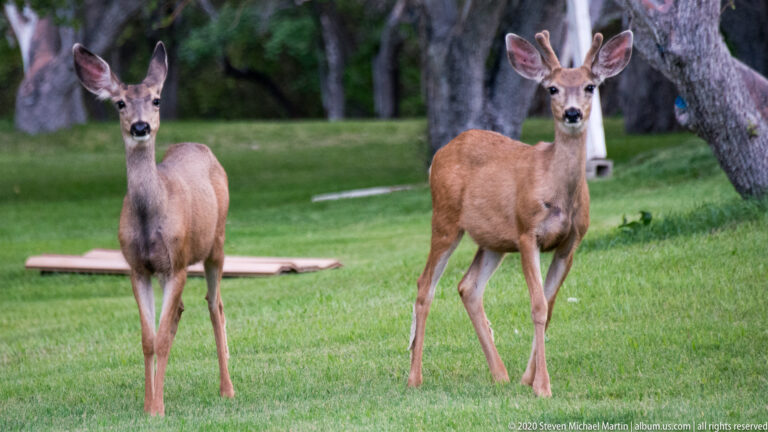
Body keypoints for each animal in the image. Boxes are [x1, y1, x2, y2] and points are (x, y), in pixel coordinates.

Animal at [72, 42, 234, 415]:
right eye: (120, 103)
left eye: (156, 99)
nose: (140, 126)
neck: (149, 217)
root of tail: (202, 148)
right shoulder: (138, 267)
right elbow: (149, 339)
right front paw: (149, 404)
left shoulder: (176, 263)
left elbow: (160, 338)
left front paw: (157, 409)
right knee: (180, 312)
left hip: (215, 245)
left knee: (214, 305)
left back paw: (227, 388)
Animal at [407, 29, 633, 397]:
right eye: (552, 88)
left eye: (590, 86)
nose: (572, 113)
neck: (557, 191)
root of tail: (439, 154)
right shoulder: (528, 233)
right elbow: (537, 305)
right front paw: (542, 385)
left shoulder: (571, 243)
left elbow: (550, 306)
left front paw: (529, 378)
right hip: (445, 219)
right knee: (425, 284)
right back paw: (415, 377)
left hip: (493, 241)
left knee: (468, 286)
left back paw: (500, 374)